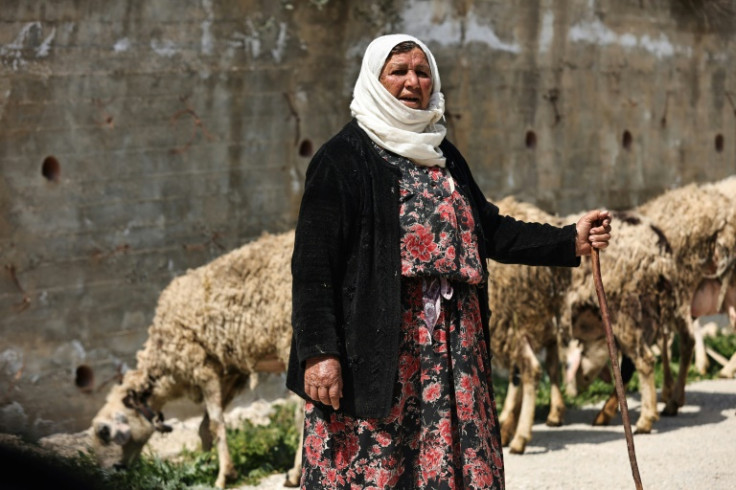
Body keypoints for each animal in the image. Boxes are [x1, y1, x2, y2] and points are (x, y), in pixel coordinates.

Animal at [89, 231, 302, 490]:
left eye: (104, 432)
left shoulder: (202, 367)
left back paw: (294, 473)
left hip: (289, 340)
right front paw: (206, 463)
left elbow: (216, 423)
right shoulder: (230, 371)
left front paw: (223, 475)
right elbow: (204, 427)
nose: (106, 476)